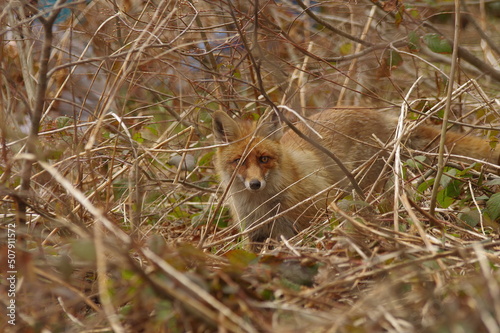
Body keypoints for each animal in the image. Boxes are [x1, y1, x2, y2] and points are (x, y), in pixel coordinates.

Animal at [212, 107, 500, 248]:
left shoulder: (308, 221)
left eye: (263, 159)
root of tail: (384, 116)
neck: (260, 205)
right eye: (239, 162)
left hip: (369, 188)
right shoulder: (254, 236)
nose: (255, 184)